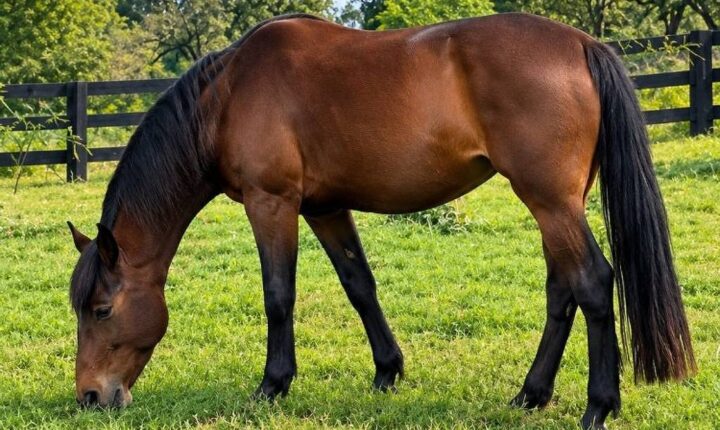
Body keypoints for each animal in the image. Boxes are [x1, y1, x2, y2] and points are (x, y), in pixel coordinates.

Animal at [67, 13, 695, 429]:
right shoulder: (324, 207)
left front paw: (273, 384)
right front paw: (388, 371)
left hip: (550, 201)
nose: (90, 397)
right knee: (562, 289)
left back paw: (598, 405)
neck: (225, 96)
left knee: (591, 282)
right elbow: (359, 285)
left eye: (101, 310)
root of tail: (583, 43)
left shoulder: (272, 203)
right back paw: (531, 394)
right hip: (557, 204)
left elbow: (278, 295)